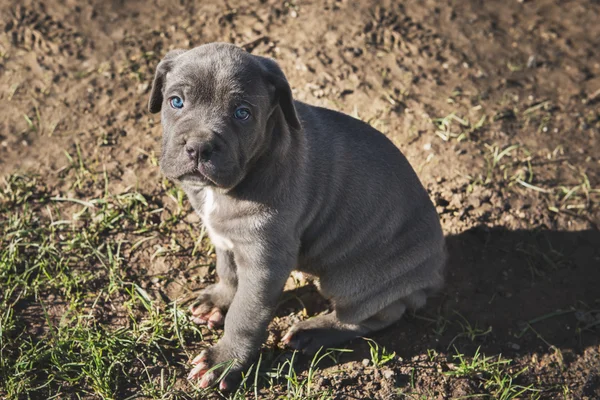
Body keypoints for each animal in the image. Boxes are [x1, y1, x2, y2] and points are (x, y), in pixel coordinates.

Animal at [148, 43, 442, 390]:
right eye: (176, 102)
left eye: (242, 113)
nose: (198, 147)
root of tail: (435, 274)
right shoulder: (224, 238)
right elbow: (228, 272)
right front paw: (219, 300)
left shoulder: (265, 263)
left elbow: (245, 315)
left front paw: (224, 360)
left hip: (354, 280)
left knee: (373, 317)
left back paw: (313, 331)